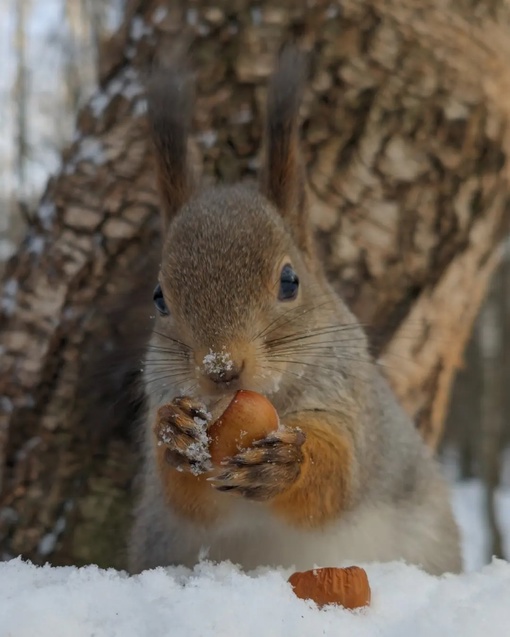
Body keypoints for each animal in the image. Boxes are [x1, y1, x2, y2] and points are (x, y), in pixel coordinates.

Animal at [127, 47, 462, 572]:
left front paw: (285, 464)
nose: (220, 368)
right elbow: (188, 502)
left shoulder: (350, 408)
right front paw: (175, 434)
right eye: (160, 297)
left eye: (290, 281)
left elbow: (337, 479)